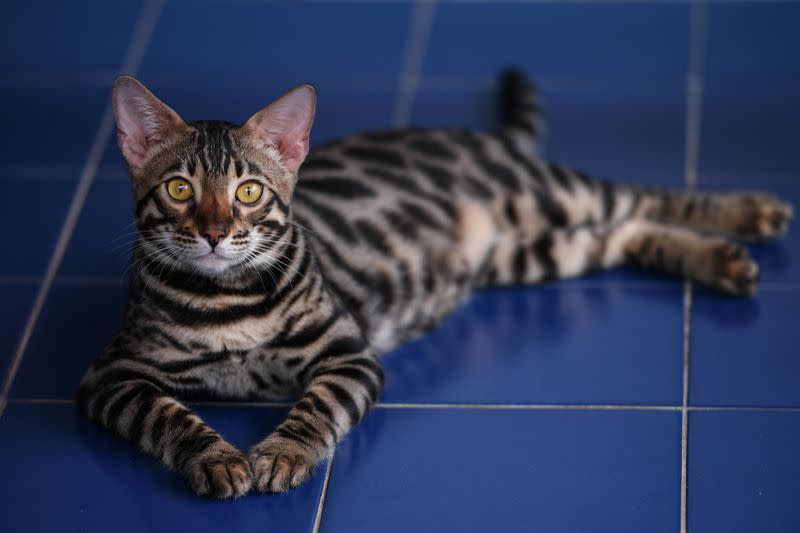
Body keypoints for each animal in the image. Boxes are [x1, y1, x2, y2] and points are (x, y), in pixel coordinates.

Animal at [78, 71, 792, 498]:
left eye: (249, 192)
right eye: (179, 189)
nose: (215, 231)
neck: (229, 301)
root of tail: (478, 137)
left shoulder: (348, 356)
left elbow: (315, 407)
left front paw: (281, 452)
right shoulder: (111, 375)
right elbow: (169, 414)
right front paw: (217, 456)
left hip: (552, 196)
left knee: (649, 197)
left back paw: (747, 216)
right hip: (530, 252)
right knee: (628, 229)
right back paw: (718, 260)